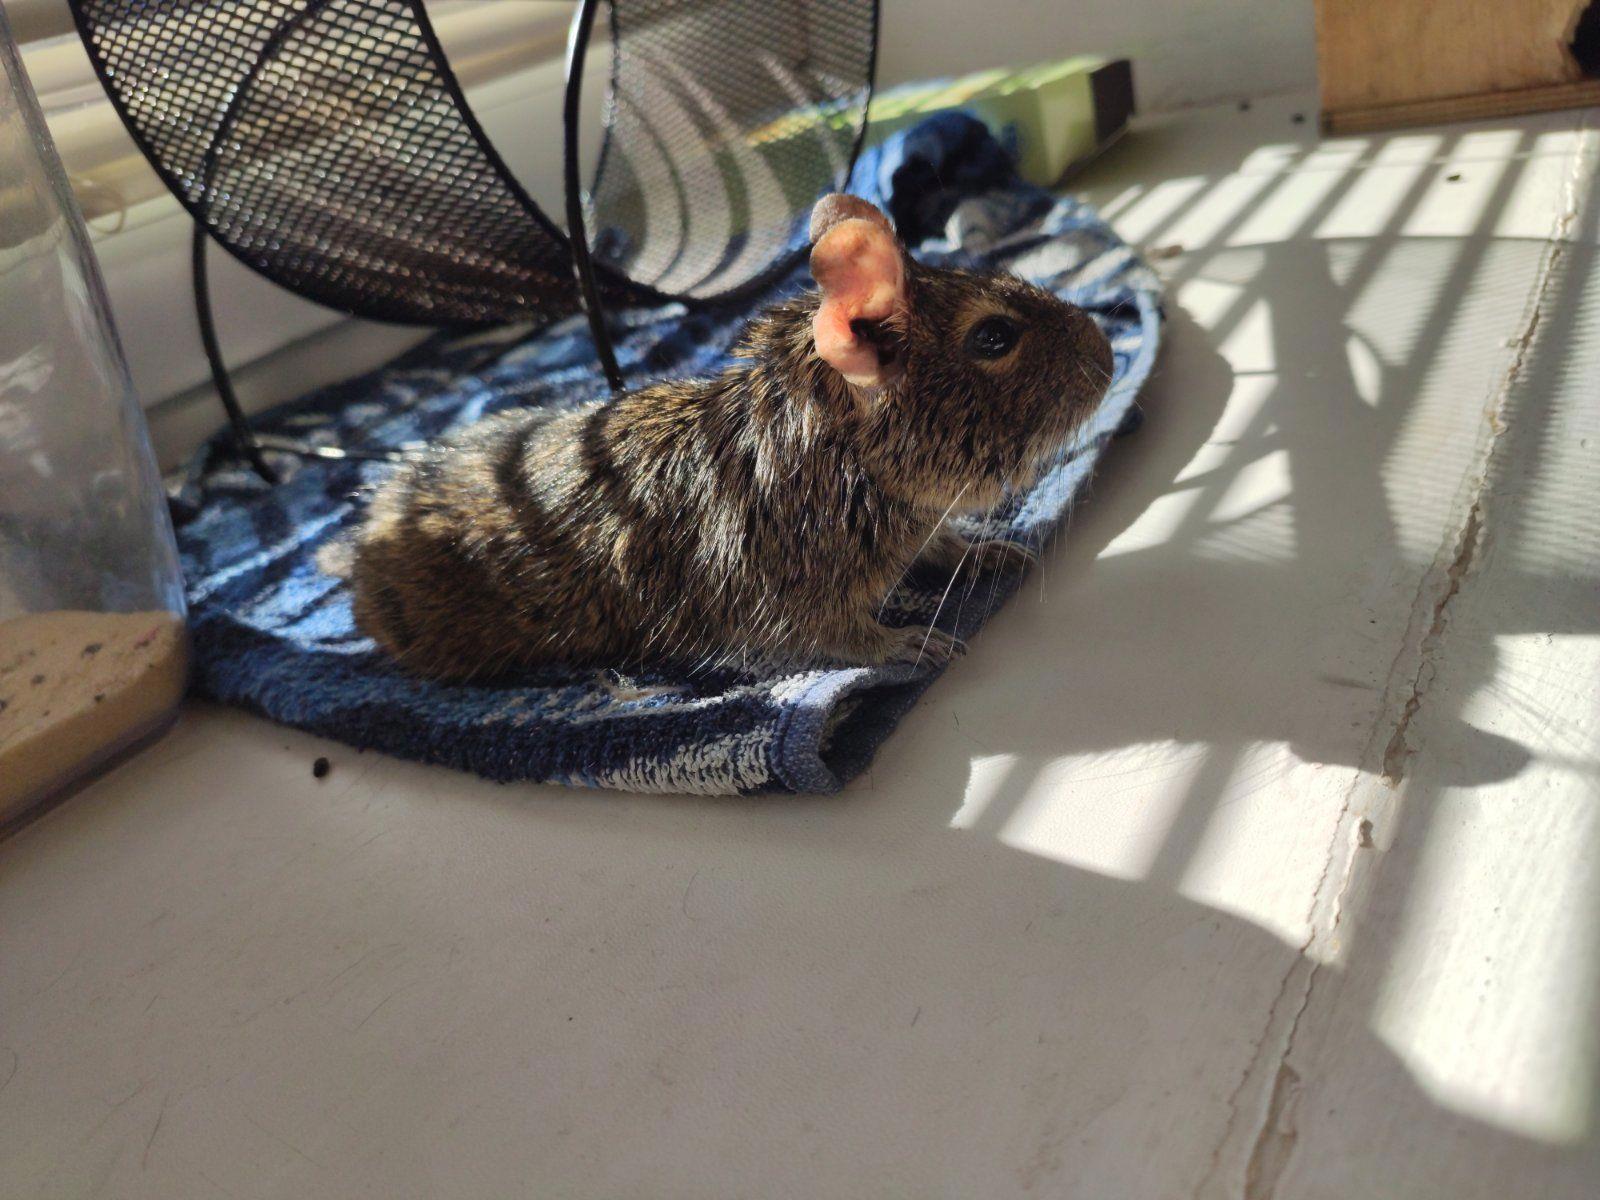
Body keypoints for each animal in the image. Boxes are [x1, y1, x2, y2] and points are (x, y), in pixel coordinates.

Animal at [348, 193, 1113, 682]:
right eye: (994, 337)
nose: (1108, 352)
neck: (839, 463)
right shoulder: (779, 601)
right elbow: (841, 638)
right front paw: (913, 645)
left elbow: (945, 544)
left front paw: (991, 550)